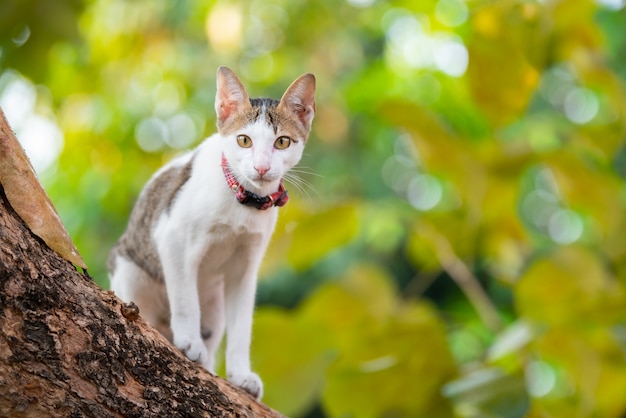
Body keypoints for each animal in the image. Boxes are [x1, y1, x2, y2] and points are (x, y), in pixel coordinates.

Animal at [108, 66, 316, 398]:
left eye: (282, 142)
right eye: (244, 140)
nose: (261, 168)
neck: (243, 202)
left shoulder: (245, 267)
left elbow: (242, 326)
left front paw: (240, 374)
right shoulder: (172, 238)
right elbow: (184, 299)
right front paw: (189, 339)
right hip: (130, 272)